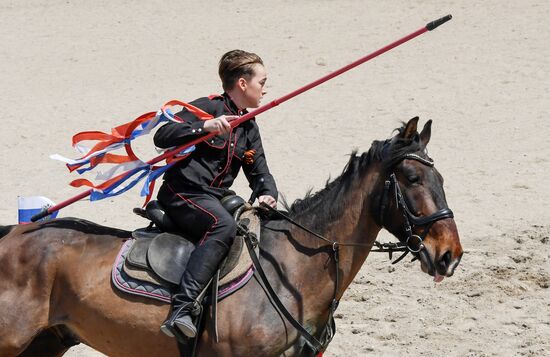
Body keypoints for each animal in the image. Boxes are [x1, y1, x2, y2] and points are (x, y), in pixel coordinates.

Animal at [0, 118, 464, 354]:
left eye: (441, 178)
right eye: (411, 178)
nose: (450, 254)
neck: (293, 270)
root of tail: (13, 233)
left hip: (47, 343)